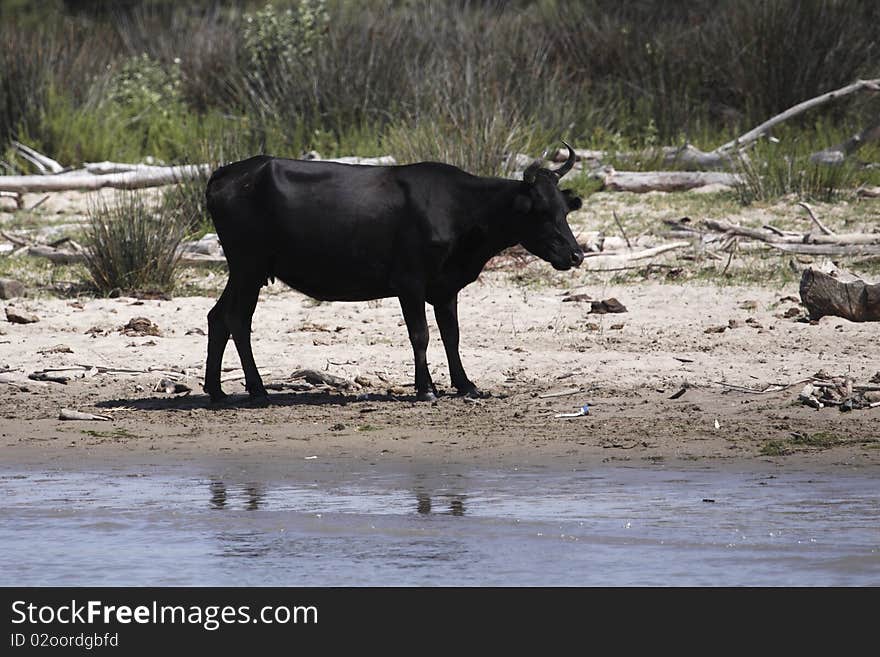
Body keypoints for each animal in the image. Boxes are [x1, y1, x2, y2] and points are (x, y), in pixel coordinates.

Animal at [203, 142, 580, 404]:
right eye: (540, 210)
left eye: (564, 209)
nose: (576, 254)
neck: (460, 209)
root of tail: (227, 172)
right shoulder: (409, 281)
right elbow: (420, 335)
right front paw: (426, 389)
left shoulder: (446, 287)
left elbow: (452, 335)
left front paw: (466, 385)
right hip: (249, 266)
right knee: (237, 318)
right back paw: (257, 390)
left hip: (244, 269)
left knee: (218, 316)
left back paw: (217, 390)